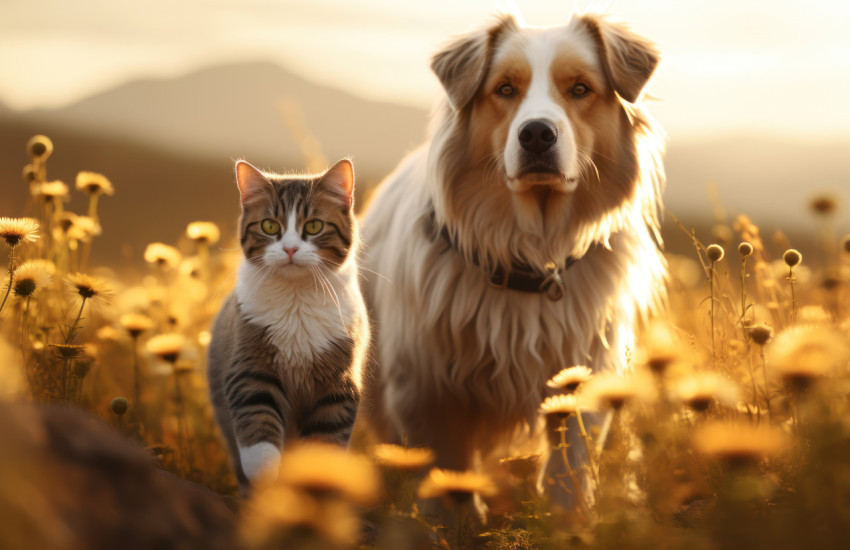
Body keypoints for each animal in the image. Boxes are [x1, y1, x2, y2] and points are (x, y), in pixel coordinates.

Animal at [206, 157, 368, 494]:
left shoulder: (338, 384)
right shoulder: (250, 365)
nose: (290, 249)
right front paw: (265, 474)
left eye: (314, 226)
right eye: (270, 226)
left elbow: (324, 444)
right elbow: (258, 423)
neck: (297, 301)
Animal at [356, 11, 664, 508]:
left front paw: (571, 520)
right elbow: (449, 486)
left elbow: (568, 478)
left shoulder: (580, 382)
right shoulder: (425, 394)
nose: (537, 133)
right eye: (504, 89)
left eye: (580, 88)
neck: (531, 253)